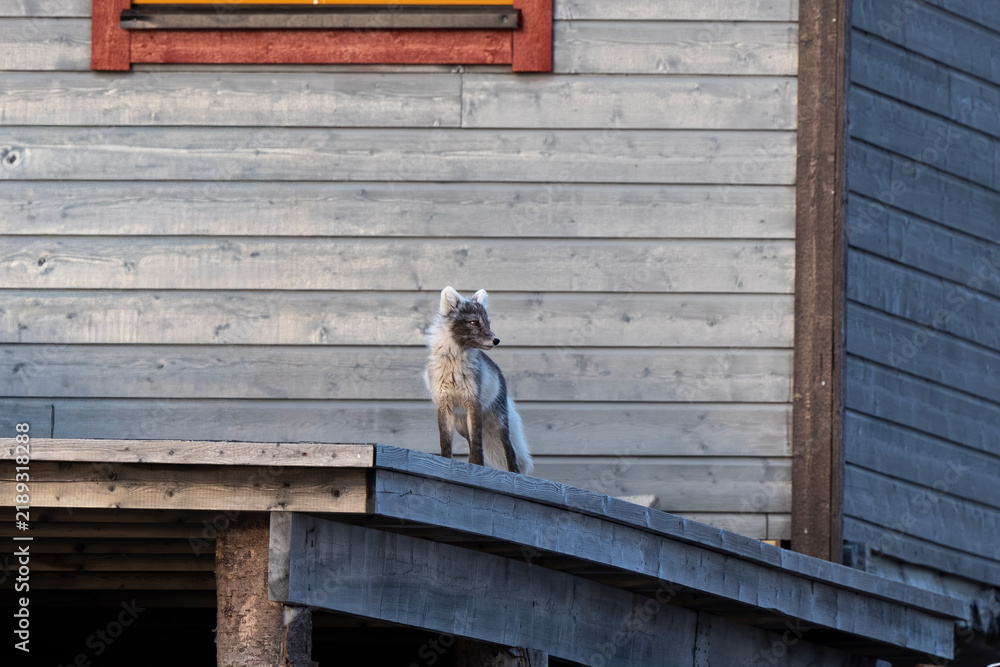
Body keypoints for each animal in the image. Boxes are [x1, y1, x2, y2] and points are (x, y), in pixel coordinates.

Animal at [424, 286, 533, 475]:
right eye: (474, 322)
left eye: (488, 323)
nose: (496, 340)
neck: (454, 367)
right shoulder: (444, 403)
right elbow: (445, 442)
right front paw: (445, 462)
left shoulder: (473, 402)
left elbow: (477, 445)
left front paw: (478, 466)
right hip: (461, 426)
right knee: (470, 441)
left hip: (499, 421)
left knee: (509, 448)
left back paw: (514, 473)